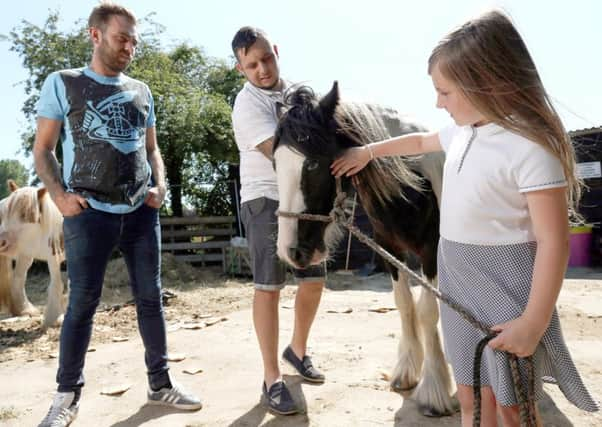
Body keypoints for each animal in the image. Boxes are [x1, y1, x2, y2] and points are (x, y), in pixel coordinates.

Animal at [0, 180, 65, 328]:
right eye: (6, 213)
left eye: (25, 214)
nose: (1, 241)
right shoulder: (51, 257)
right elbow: (58, 284)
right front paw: (55, 318)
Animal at [274, 83, 454, 418]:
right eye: (275, 163)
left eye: (313, 163)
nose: (292, 252)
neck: (411, 183)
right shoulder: (389, 249)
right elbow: (404, 304)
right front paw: (407, 372)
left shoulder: (431, 251)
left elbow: (426, 310)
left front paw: (434, 390)